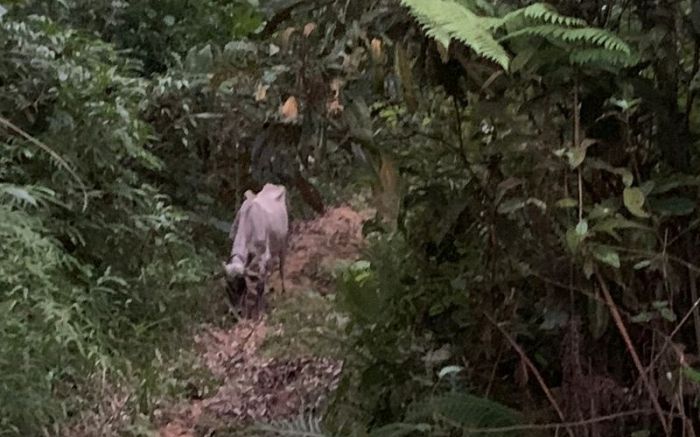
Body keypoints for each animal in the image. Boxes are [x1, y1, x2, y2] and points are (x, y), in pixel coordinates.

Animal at [224, 184, 290, 314]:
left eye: (241, 285)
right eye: (229, 287)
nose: (236, 312)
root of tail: (273, 186)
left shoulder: (263, 256)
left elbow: (260, 285)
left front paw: (259, 310)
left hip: (283, 242)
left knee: (281, 267)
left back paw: (283, 290)